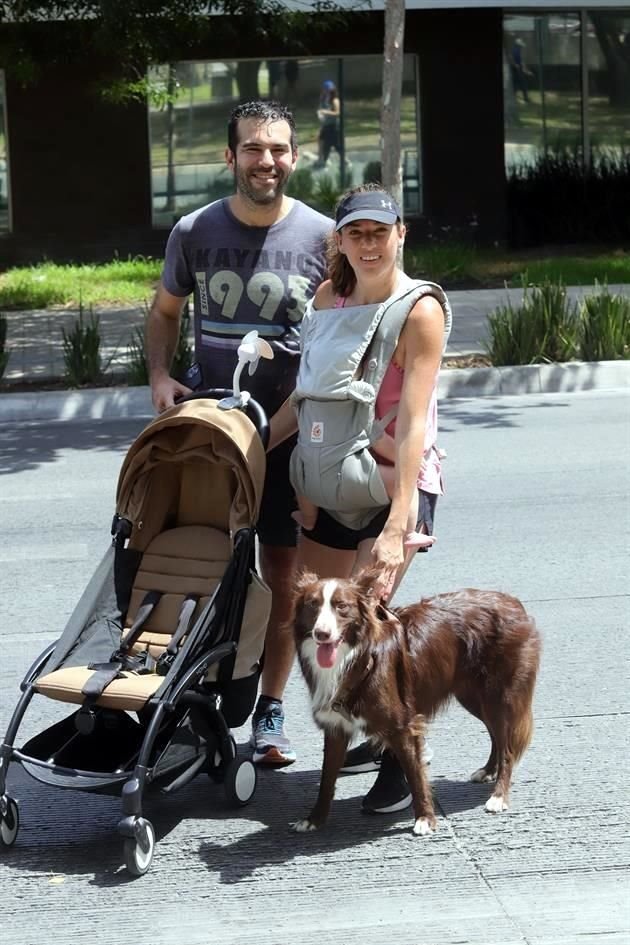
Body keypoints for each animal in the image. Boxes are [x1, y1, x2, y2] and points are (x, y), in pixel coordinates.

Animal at [292, 568, 544, 832]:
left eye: (341, 606)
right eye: (312, 605)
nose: (322, 633)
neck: (356, 657)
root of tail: (513, 602)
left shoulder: (402, 725)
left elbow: (415, 775)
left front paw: (425, 819)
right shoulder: (335, 728)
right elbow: (326, 779)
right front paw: (314, 819)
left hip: (498, 696)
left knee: (508, 747)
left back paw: (499, 796)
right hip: (473, 697)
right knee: (497, 736)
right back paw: (487, 771)